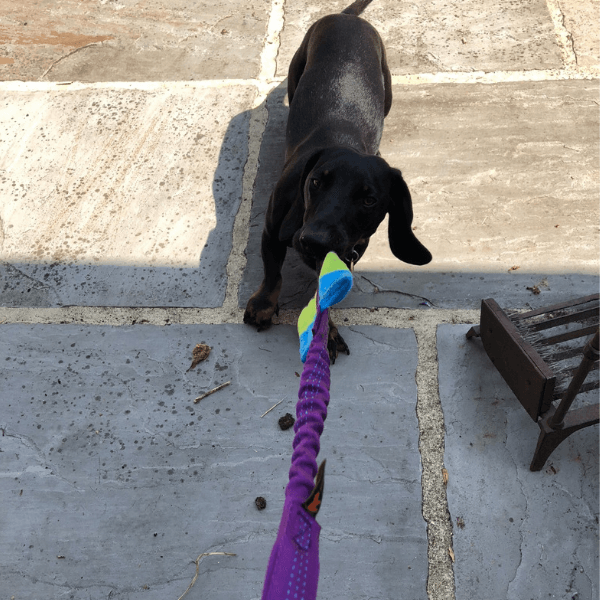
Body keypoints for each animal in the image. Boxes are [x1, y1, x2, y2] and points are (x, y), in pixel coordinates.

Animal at [244, 0, 432, 361]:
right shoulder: (272, 229)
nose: (313, 242)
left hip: (387, 90)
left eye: (369, 200)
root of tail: (345, 18)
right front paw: (262, 305)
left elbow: (325, 292)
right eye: (315, 182)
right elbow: (273, 272)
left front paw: (325, 330)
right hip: (297, 71)